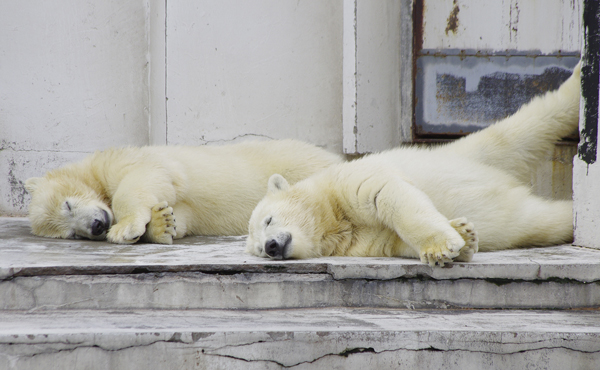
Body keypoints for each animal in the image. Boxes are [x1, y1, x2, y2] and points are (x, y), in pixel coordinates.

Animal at [25, 140, 342, 244]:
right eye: (71, 234)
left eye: (67, 204)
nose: (96, 226)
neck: (93, 170)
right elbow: (182, 215)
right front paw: (163, 223)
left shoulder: (124, 160)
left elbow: (146, 176)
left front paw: (124, 228)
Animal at [246, 63, 580, 266]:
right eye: (257, 249)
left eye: (268, 221)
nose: (271, 247)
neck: (333, 215)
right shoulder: (360, 242)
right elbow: (394, 241)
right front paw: (464, 236)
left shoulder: (352, 183)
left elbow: (388, 195)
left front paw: (441, 245)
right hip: (511, 207)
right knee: (543, 219)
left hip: (469, 151)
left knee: (528, 123)